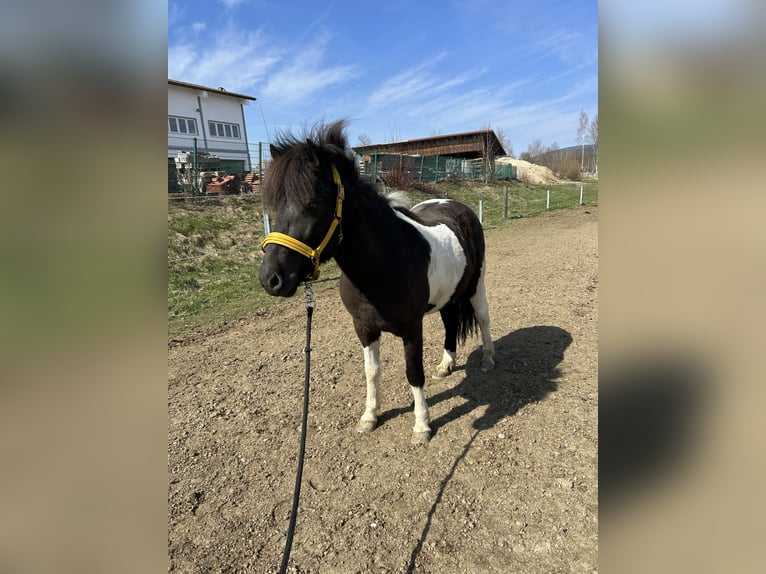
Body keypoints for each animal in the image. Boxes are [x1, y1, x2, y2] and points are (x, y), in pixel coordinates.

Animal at [259, 120, 495, 444]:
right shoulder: (364, 327)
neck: (381, 266)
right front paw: (370, 416)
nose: (270, 278)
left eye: (312, 203)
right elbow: (371, 371)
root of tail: (458, 206)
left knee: (482, 317)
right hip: (448, 294)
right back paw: (446, 365)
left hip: (476, 284)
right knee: (450, 322)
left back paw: (487, 360)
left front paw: (421, 426)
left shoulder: (412, 328)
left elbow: (414, 373)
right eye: (276, 206)